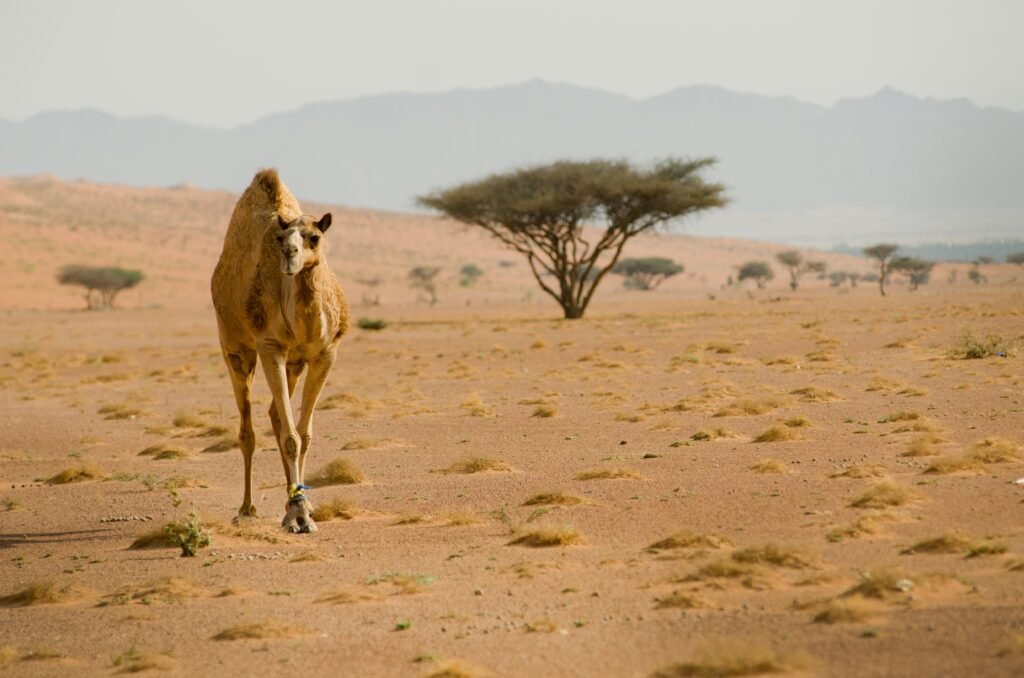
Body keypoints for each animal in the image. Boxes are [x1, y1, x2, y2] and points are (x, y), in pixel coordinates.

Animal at [210, 168, 348, 532]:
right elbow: (291, 438)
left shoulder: (325, 353)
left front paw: (303, 506)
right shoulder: (269, 346)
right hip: (235, 347)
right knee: (247, 429)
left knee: (274, 415)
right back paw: (247, 508)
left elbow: (304, 434)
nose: (290, 254)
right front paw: (298, 515)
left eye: (314, 237)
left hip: (295, 363)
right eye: (281, 239)